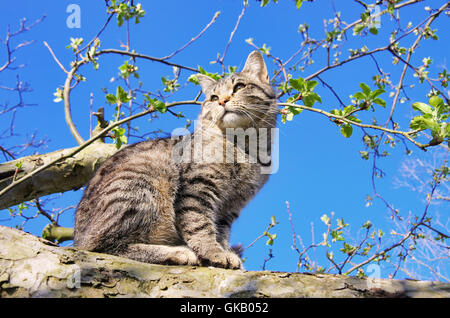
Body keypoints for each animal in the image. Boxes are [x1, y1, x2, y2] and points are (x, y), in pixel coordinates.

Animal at [74, 51, 278, 270]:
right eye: (213, 98)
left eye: (239, 87)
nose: (222, 101)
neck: (246, 147)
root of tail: (78, 239)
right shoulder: (197, 185)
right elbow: (199, 225)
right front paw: (213, 252)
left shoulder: (230, 207)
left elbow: (221, 233)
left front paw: (225, 252)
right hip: (141, 186)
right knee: (106, 246)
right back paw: (178, 252)